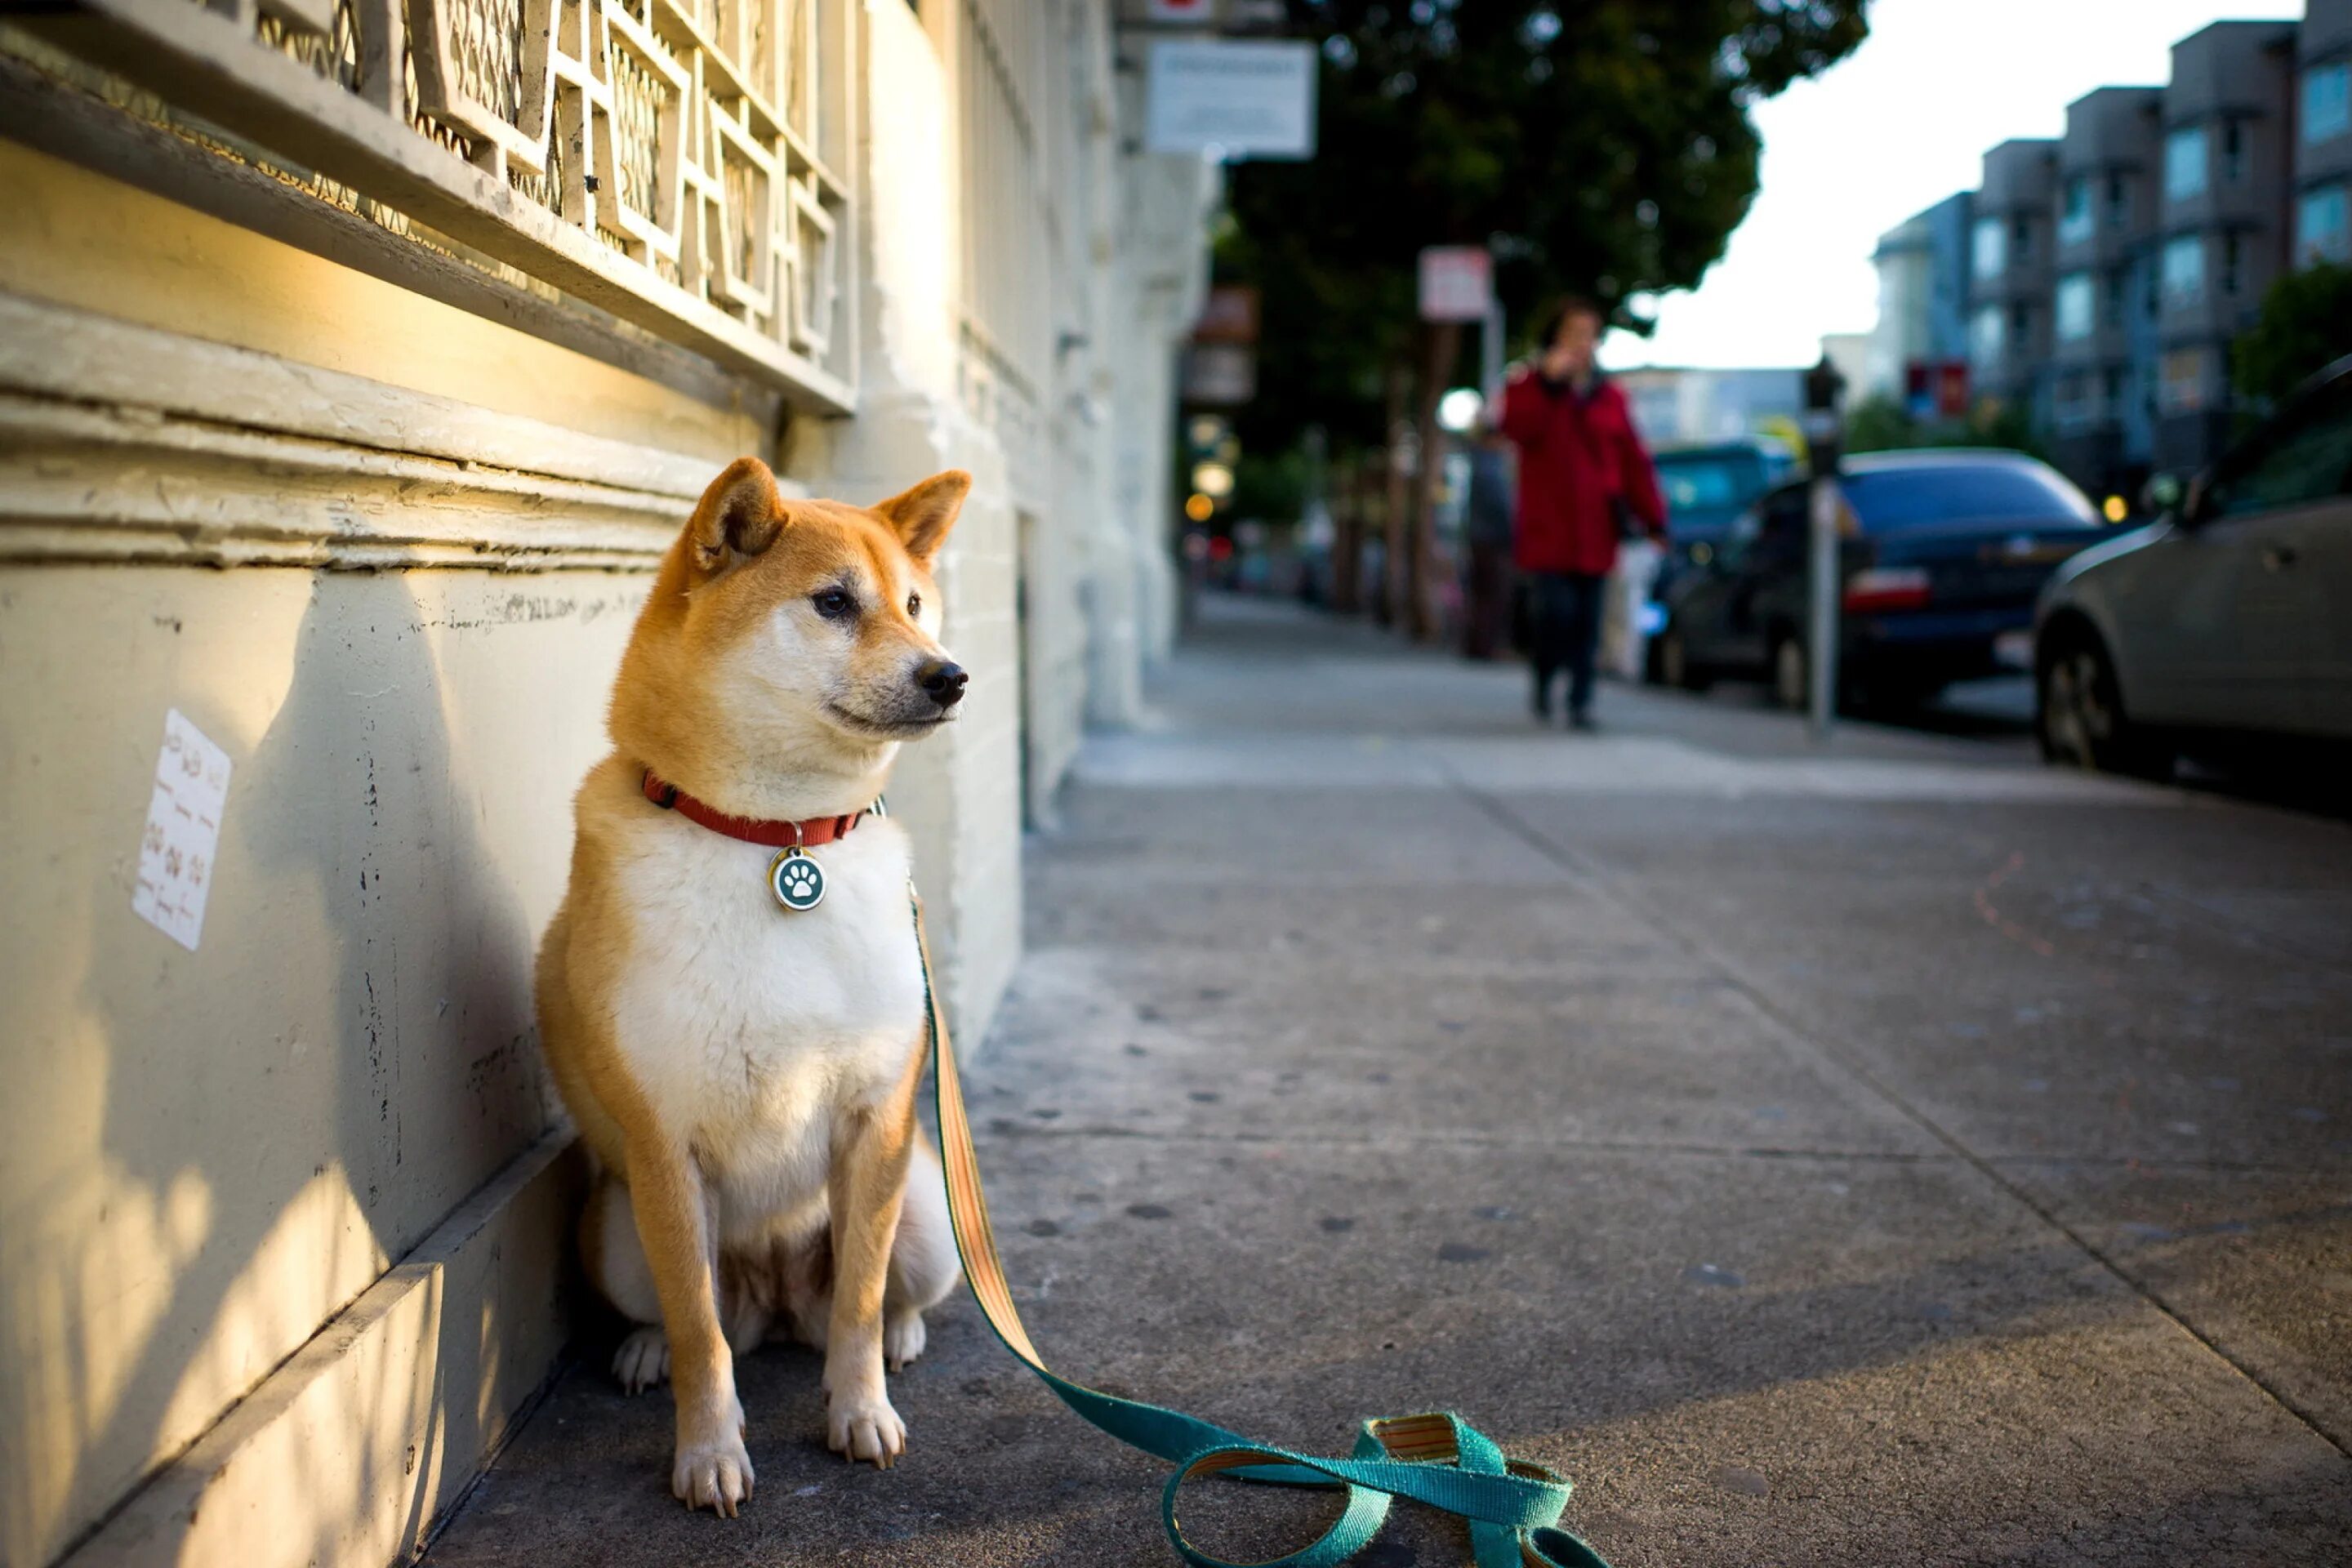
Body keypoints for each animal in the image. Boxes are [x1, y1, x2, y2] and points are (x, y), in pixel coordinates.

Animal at [538, 461, 969, 1513]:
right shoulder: (663, 1148)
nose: (949, 674)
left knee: (878, 1294)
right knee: (693, 1318)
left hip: (927, 1214)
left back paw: (902, 1336)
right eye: (834, 603)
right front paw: (707, 1453)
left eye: (912, 604)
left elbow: (857, 1298)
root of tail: (774, 1301)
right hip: (614, 1229)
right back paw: (644, 1349)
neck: (779, 841)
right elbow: (701, 1333)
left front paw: (860, 1410)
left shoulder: (874, 1120)